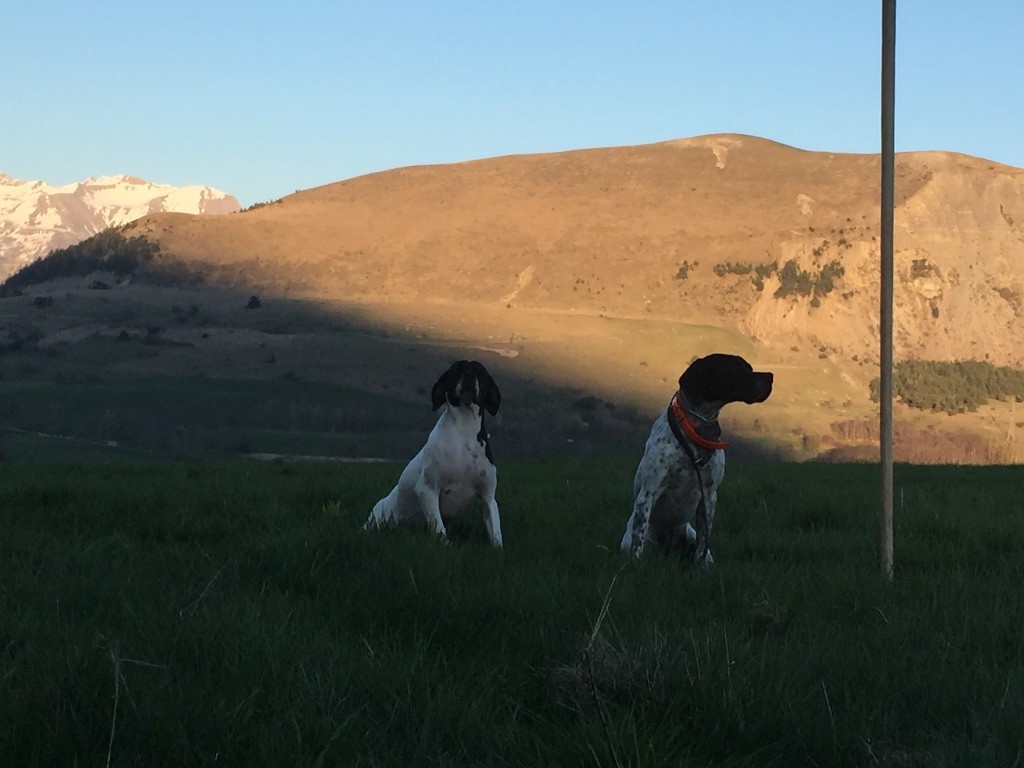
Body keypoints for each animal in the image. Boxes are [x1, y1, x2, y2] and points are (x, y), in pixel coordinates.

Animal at [618, 354, 770, 565]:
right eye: (737, 369)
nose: (771, 377)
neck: (695, 430)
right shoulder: (648, 493)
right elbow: (638, 538)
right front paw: (636, 562)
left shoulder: (709, 495)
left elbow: (704, 539)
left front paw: (701, 565)